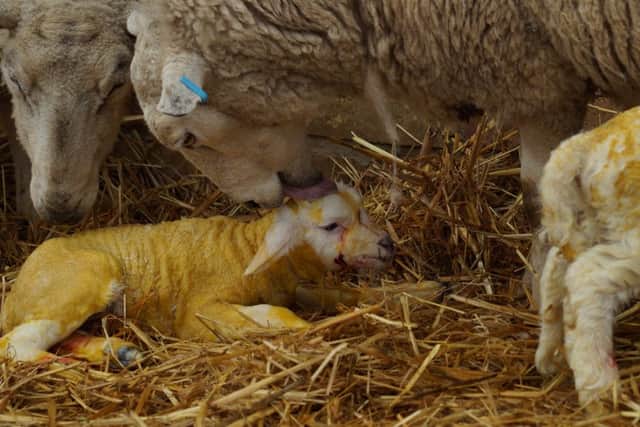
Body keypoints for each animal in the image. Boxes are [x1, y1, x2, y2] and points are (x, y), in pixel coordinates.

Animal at [0, 182, 394, 365]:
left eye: (363, 213)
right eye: (331, 226)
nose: (388, 244)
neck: (246, 251)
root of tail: (15, 290)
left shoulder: (296, 286)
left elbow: (331, 296)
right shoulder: (196, 314)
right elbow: (277, 314)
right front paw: (310, 332)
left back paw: (118, 352)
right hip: (80, 280)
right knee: (14, 346)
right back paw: (66, 366)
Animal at [534, 106, 640, 406]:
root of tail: (588, 141)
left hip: (596, 221)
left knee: (558, 266)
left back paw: (549, 354)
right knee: (588, 279)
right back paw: (600, 392)